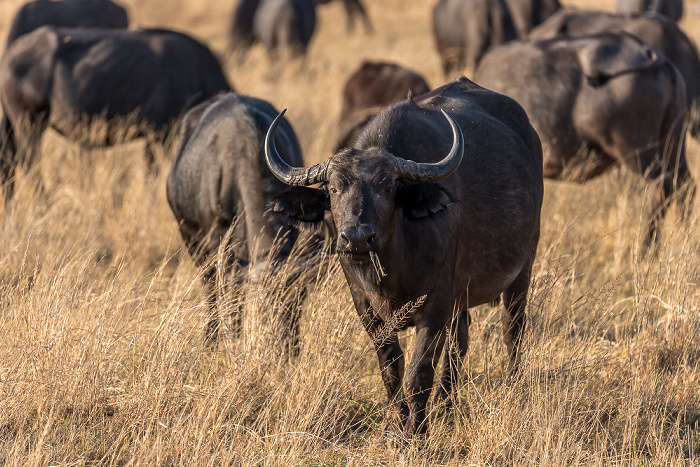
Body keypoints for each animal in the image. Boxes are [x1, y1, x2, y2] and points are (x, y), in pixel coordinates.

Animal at [0, 26, 232, 194]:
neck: (198, 74)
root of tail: (11, 53)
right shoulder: (158, 134)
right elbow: (152, 175)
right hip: (29, 123)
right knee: (29, 163)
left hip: (15, 125)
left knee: (9, 161)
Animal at [167, 92, 308, 348]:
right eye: (267, 301)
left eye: (300, 297)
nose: (289, 347)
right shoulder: (217, 242)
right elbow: (231, 294)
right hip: (191, 238)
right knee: (210, 287)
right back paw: (211, 338)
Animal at [266, 77, 544, 438]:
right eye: (333, 189)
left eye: (386, 186)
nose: (357, 237)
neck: (394, 267)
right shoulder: (366, 308)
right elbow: (392, 369)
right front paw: (397, 425)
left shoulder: (437, 303)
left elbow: (418, 372)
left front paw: (417, 432)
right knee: (460, 342)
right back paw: (447, 405)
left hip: (521, 271)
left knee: (512, 331)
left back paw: (510, 387)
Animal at [476, 32, 696, 245]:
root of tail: (651, 54)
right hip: (673, 140)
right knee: (685, 184)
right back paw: (683, 239)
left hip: (634, 148)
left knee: (663, 184)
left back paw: (647, 246)